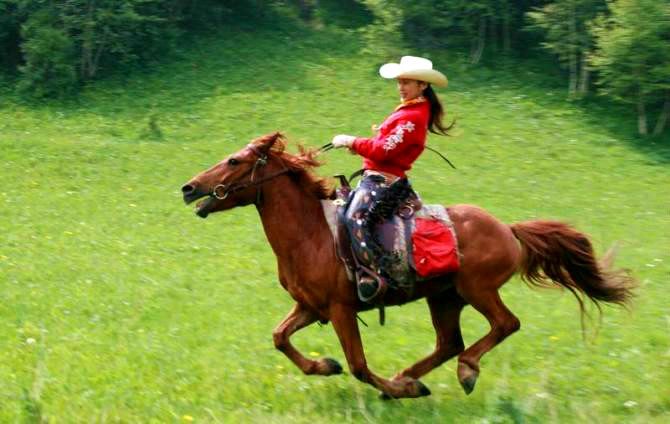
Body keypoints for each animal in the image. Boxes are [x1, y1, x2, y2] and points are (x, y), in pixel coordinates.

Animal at [182, 134, 636, 400]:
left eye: (234, 161)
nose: (189, 187)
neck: (312, 234)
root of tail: (508, 230)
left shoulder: (341, 310)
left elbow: (359, 366)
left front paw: (397, 388)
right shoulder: (311, 307)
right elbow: (280, 337)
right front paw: (325, 366)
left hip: (478, 290)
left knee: (504, 325)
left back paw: (461, 372)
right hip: (445, 297)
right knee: (449, 342)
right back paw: (414, 375)